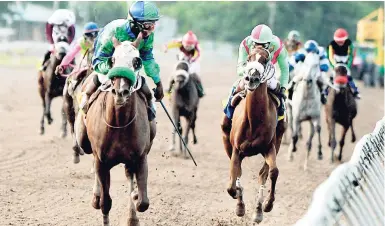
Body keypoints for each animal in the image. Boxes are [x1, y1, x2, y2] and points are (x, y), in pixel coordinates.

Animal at [73, 40, 154, 226]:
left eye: (136, 61)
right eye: (113, 59)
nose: (120, 91)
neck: (119, 123)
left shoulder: (140, 157)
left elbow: (143, 202)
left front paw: (134, 209)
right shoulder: (102, 161)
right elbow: (106, 202)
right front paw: (99, 200)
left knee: (130, 178)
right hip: (85, 142)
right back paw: (95, 196)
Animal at [220, 46, 286, 223]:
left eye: (265, 59)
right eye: (249, 58)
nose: (251, 78)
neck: (254, 119)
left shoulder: (269, 148)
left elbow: (273, 172)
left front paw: (268, 205)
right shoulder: (237, 150)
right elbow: (231, 185)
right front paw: (239, 203)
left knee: (263, 174)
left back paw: (258, 210)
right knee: (238, 173)